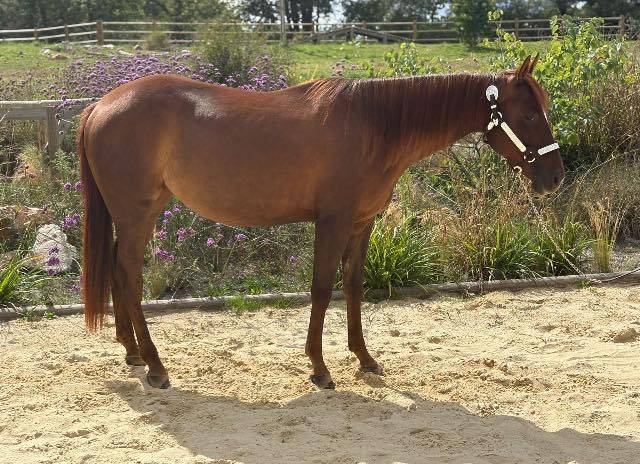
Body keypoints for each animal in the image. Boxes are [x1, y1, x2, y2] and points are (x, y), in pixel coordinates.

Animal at [77, 55, 564, 390]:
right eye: (529, 114)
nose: (555, 176)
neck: (373, 127)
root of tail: (101, 105)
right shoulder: (332, 222)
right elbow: (322, 289)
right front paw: (319, 367)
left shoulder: (363, 223)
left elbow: (353, 286)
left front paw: (364, 358)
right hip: (137, 213)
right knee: (129, 276)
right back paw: (156, 366)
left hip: (139, 213)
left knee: (119, 272)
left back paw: (133, 353)